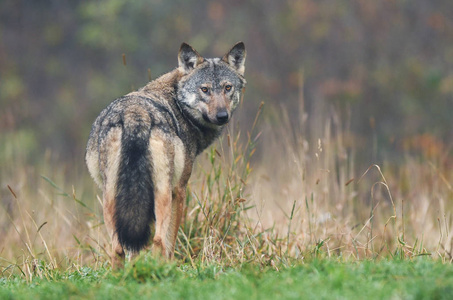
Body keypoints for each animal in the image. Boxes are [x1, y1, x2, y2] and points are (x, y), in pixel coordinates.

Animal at [85, 41, 247, 268]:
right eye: (205, 89)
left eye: (227, 88)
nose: (222, 116)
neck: (178, 104)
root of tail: (136, 115)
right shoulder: (179, 190)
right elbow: (170, 241)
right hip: (162, 193)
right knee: (159, 240)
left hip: (111, 197)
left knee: (118, 248)